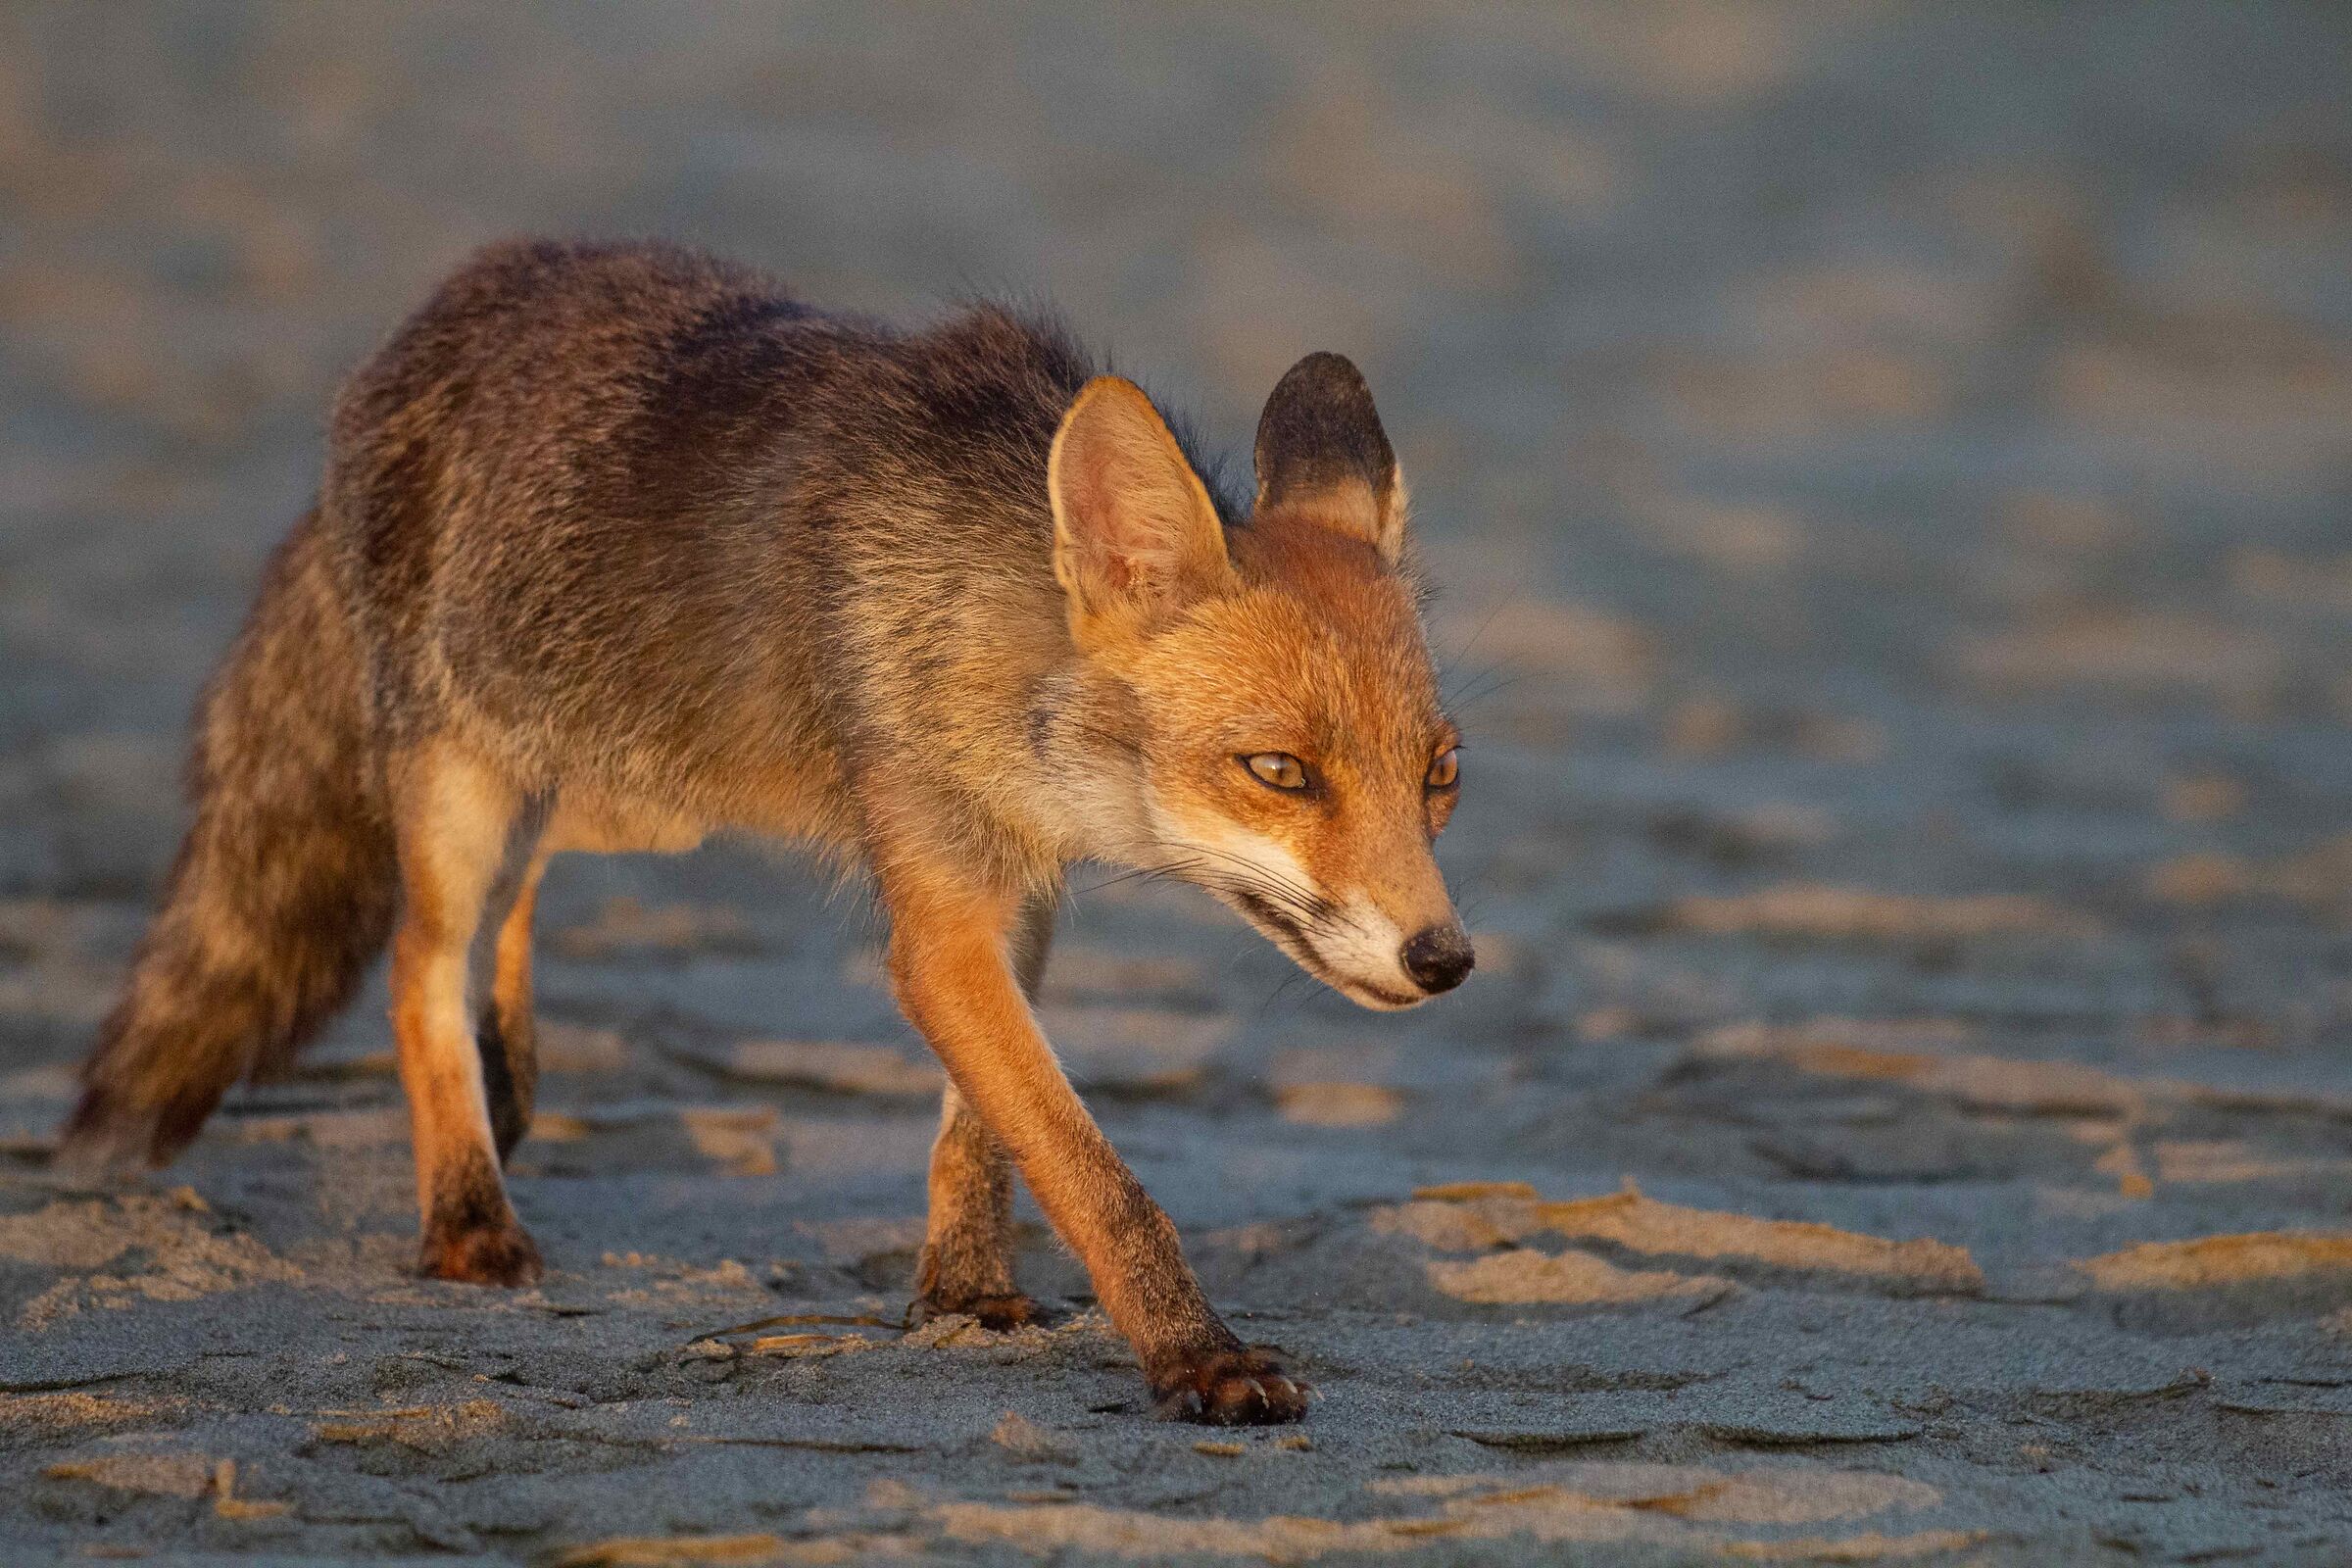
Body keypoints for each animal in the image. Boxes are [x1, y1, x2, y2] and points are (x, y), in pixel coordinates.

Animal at [57, 239, 1472, 1425]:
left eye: (1442, 775)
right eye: (1279, 771)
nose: (1446, 960)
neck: (983, 626)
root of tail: (424, 324)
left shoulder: (1013, 894)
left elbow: (982, 1135)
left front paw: (962, 1290)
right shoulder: (941, 915)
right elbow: (1091, 1173)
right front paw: (1197, 1357)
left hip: (642, 793)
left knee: (526, 888)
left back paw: (514, 1069)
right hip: (475, 787)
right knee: (419, 966)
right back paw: (465, 1207)